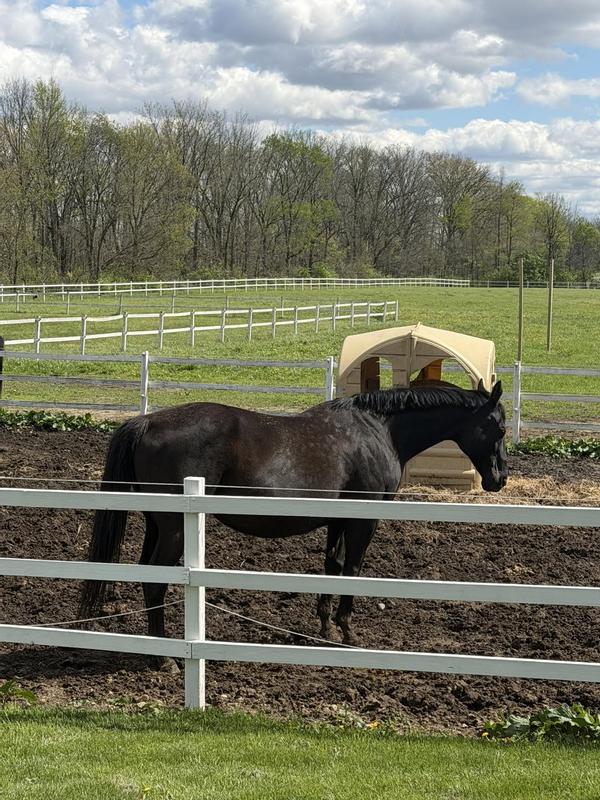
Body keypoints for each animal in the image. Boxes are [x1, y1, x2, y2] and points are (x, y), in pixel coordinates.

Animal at [80, 381, 508, 645]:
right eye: (499, 428)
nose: (500, 478)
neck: (377, 431)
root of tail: (147, 420)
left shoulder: (338, 519)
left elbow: (332, 567)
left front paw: (324, 626)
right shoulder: (363, 519)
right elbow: (353, 570)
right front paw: (347, 630)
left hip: (157, 523)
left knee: (147, 575)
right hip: (174, 530)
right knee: (156, 580)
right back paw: (165, 654)